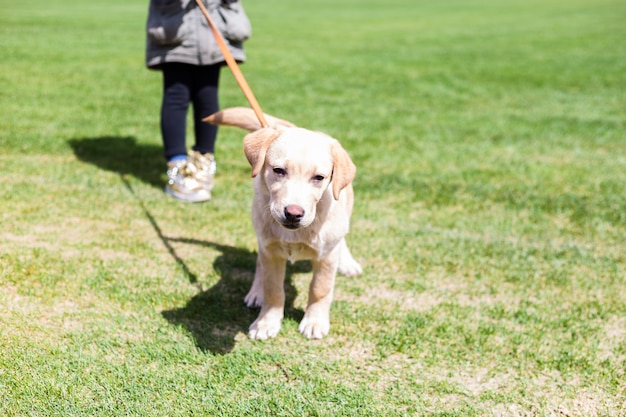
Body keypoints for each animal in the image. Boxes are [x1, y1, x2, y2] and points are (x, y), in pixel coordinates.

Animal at [205, 106, 360, 338]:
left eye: (319, 178)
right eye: (278, 170)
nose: (293, 213)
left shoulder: (327, 256)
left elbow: (320, 289)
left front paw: (314, 322)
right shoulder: (272, 252)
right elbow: (273, 290)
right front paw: (266, 323)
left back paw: (348, 262)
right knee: (260, 263)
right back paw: (256, 292)